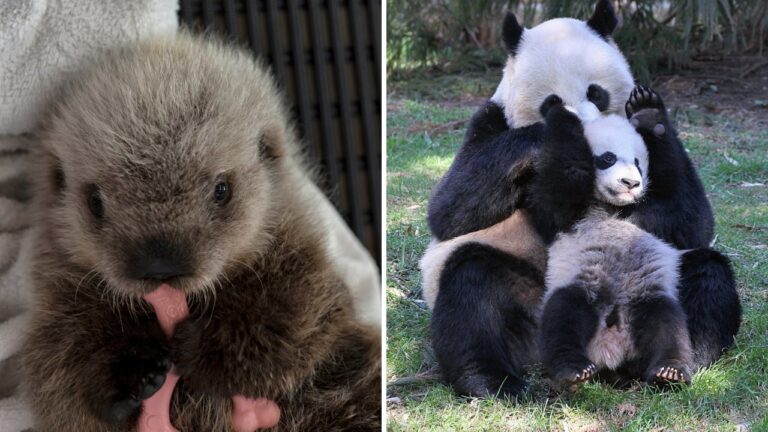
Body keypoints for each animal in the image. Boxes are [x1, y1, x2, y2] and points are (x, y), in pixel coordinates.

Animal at [21, 33, 381, 431]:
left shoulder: (300, 257)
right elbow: (62, 359)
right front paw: (134, 370)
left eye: (222, 190)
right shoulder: (60, 297)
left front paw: (201, 349)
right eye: (95, 202)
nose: (160, 266)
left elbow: (293, 307)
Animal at [536, 101, 692, 386]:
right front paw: (562, 112)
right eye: (608, 158)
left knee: (667, 324)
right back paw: (574, 369)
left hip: (646, 294)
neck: (614, 208)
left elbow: (688, 218)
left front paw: (649, 112)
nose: (630, 183)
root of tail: (612, 346)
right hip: (583, 284)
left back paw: (669, 371)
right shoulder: (568, 212)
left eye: (638, 164)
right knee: (563, 315)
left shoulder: (656, 217)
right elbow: (564, 178)